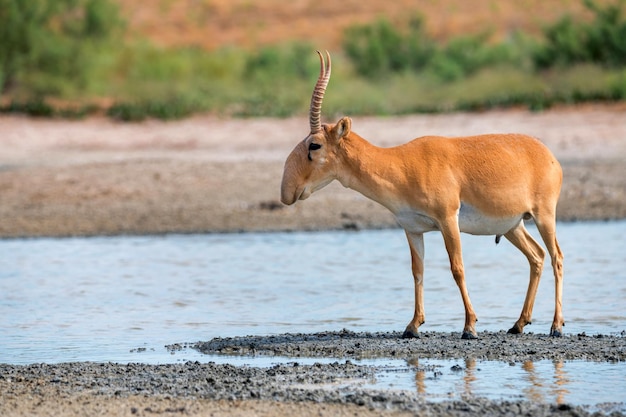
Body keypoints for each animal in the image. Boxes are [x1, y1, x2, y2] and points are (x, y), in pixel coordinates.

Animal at [280, 51, 564, 338]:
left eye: (314, 145)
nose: (287, 193)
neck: (401, 165)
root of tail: (548, 155)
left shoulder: (448, 221)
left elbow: (457, 268)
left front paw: (469, 326)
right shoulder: (413, 229)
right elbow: (417, 271)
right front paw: (413, 325)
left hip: (543, 216)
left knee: (556, 258)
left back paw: (556, 326)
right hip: (512, 227)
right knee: (537, 257)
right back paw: (518, 324)